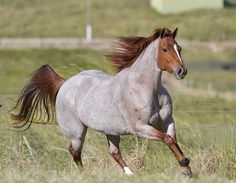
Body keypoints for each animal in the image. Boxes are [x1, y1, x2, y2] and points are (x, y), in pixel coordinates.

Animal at [10, 27, 192, 177]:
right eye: (165, 49)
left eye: (179, 48)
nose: (181, 71)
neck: (144, 89)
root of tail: (64, 83)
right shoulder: (140, 128)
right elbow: (168, 139)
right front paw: (185, 165)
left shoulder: (167, 121)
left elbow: (172, 140)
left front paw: (186, 168)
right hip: (77, 133)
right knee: (74, 151)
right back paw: (85, 174)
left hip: (111, 131)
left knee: (114, 152)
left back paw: (130, 174)